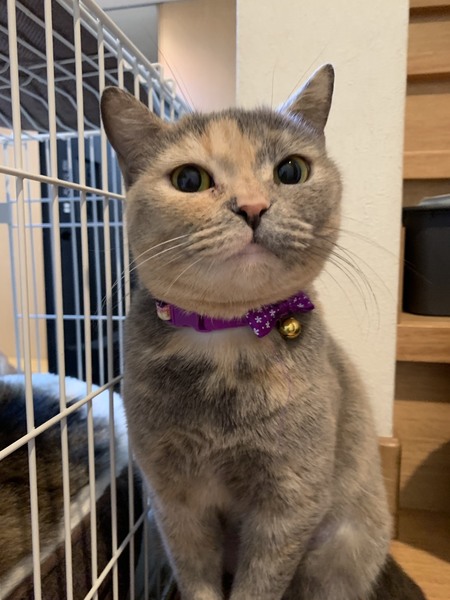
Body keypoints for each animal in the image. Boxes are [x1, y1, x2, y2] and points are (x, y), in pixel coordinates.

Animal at [101, 65, 426, 600]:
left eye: (291, 171)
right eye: (189, 179)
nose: (252, 207)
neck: (227, 340)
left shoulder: (290, 501)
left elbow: (258, 585)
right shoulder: (175, 501)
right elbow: (198, 579)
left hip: (335, 550)